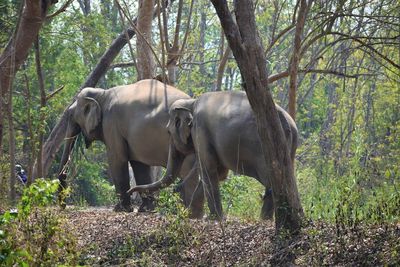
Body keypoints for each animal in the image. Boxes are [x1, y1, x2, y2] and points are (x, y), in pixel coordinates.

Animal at [57, 78, 203, 217]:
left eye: (70, 115)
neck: (102, 93)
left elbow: (117, 159)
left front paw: (120, 209)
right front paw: (146, 210)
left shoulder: (111, 124)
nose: (63, 206)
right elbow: (139, 165)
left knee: (188, 174)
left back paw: (188, 214)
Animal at [128, 91, 296, 221]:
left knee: (271, 181)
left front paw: (212, 218)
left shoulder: (200, 130)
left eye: (169, 132)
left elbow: (208, 169)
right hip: (289, 149)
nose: (130, 191)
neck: (191, 102)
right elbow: (218, 173)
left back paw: (266, 219)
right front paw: (193, 216)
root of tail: (289, 124)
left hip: (261, 150)